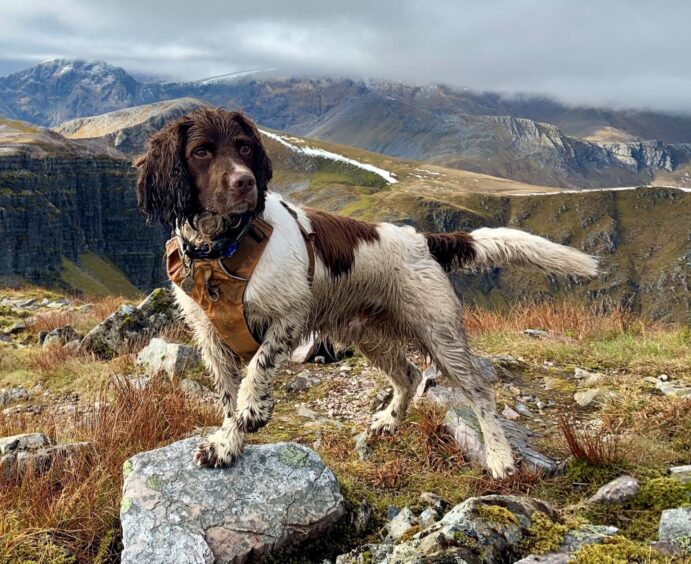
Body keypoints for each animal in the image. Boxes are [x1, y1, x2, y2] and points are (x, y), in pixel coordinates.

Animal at [137, 108, 600, 478]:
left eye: (246, 147)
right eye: (201, 152)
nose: (245, 183)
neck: (223, 247)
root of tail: (422, 240)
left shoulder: (289, 315)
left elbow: (257, 371)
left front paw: (253, 411)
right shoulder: (211, 335)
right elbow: (228, 398)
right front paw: (227, 445)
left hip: (439, 331)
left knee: (480, 392)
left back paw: (501, 458)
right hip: (368, 334)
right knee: (409, 375)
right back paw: (389, 422)